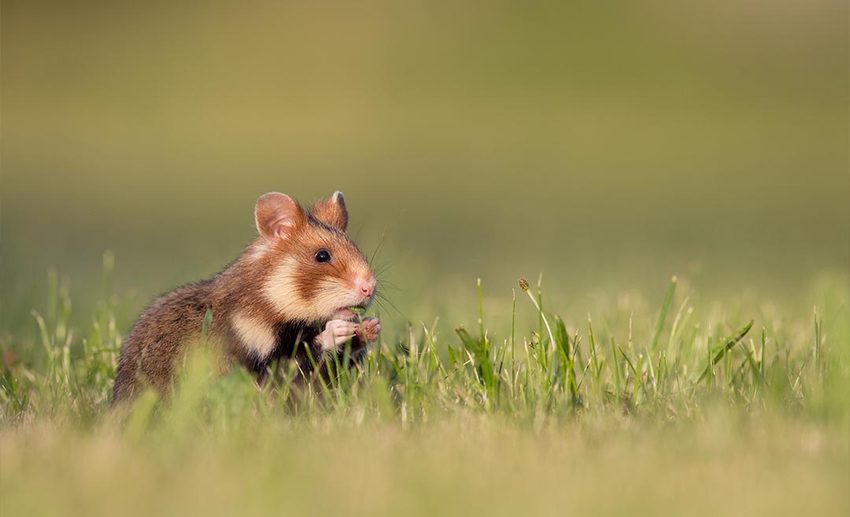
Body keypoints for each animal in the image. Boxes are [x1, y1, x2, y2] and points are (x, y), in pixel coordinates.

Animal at [111, 191, 381, 404]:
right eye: (322, 256)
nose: (370, 287)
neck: (270, 300)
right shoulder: (258, 354)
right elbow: (298, 357)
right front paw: (338, 330)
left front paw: (370, 327)